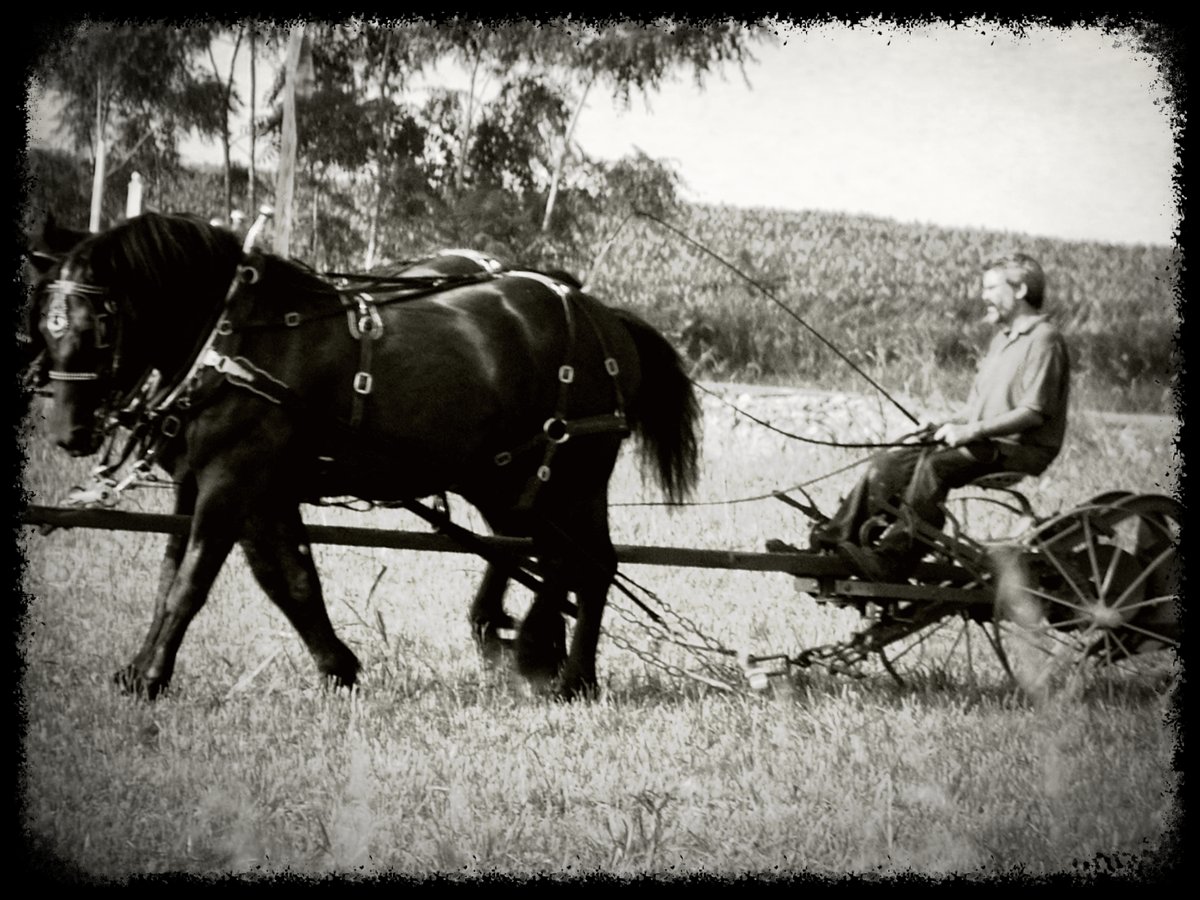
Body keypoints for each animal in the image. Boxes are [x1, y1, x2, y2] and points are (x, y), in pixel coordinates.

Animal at [34, 212, 701, 700]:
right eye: (45, 320)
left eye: (96, 324)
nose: (69, 433)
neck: (237, 338)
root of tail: (606, 316)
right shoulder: (225, 487)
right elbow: (283, 580)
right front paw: (337, 667)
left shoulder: (233, 478)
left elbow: (192, 583)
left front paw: (151, 678)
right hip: (508, 477)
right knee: (546, 555)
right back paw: (537, 654)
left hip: (573, 472)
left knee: (585, 564)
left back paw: (559, 670)